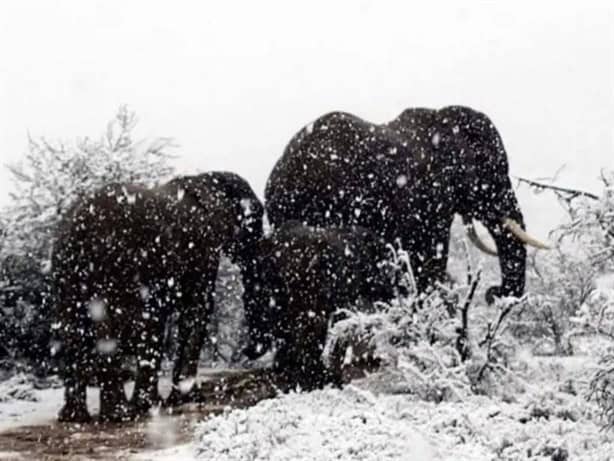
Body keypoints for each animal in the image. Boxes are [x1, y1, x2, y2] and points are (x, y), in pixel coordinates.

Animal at [52, 170, 262, 420]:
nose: (247, 353)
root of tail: (78, 228)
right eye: (256, 221)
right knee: (109, 327)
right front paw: (183, 399)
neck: (205, 179)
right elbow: (196, 310)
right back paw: (122, 414)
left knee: (73, 329)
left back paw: (76, 417)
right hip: (115, 267)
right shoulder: (202, 250)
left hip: (67, 272)